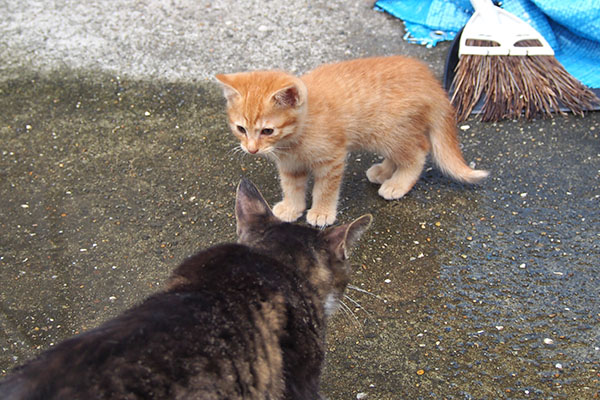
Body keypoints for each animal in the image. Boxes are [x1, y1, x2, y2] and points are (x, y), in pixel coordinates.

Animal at [216, 54, 488, 227]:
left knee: (418, 152)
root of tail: (431, 81)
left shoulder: (332, 159)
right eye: (241, 129)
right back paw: (383, 171)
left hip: (391, 132)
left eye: (267, 131)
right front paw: (293, 207)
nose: (251, 149)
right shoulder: (290, 165)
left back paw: (398, 184)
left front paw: (321, 212)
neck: (295, 137)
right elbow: (292, 186)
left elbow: (325, 189)